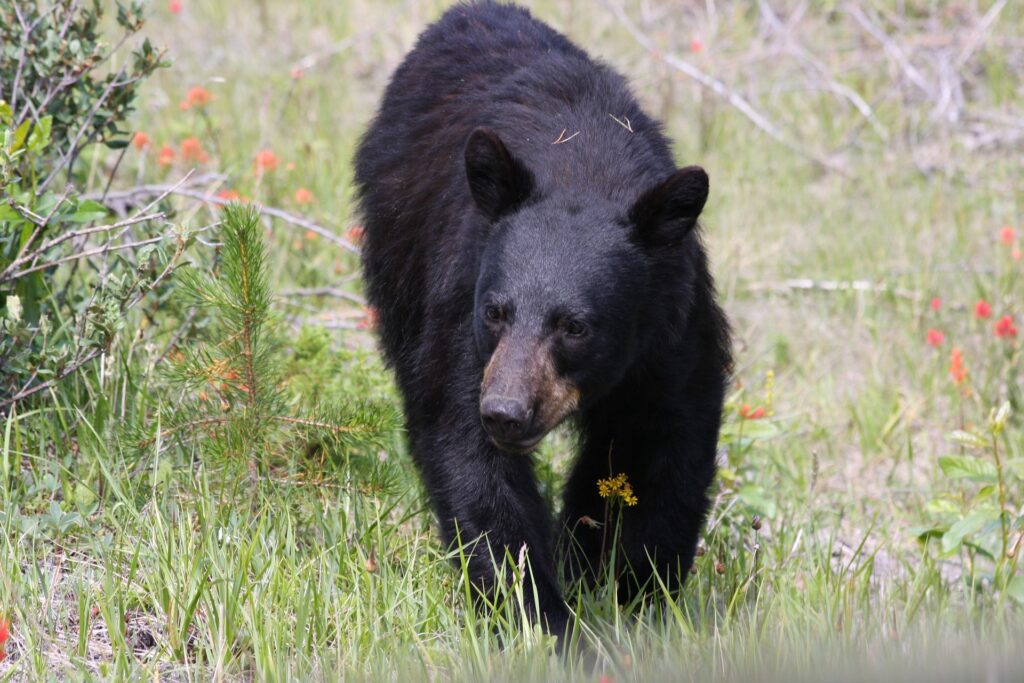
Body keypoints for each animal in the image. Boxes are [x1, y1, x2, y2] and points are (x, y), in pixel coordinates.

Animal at [356, 1, 733, 643]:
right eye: (496, 311)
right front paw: (545, 621)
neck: (584, 169)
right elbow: (468, 454)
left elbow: (663, 453)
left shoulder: (673, 334)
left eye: (575, 326)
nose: (505, 412)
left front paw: (636, 601)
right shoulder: (463, 311)